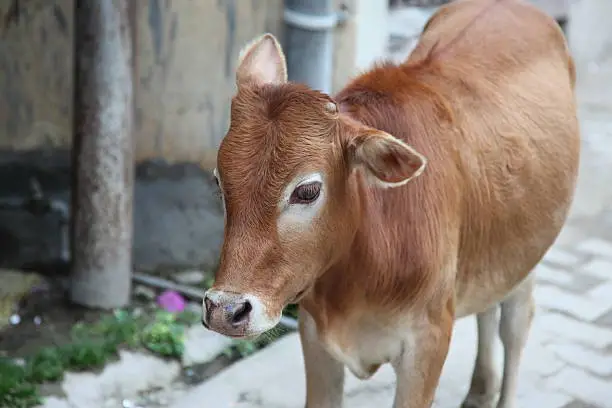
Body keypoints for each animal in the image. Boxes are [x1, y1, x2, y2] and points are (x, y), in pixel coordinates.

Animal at [203, 0, 580, 406]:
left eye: (307, 191)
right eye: (219, 181)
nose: (225, 310)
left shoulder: (428, 342)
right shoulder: (315, 336)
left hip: (528, 253)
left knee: (515, 325)